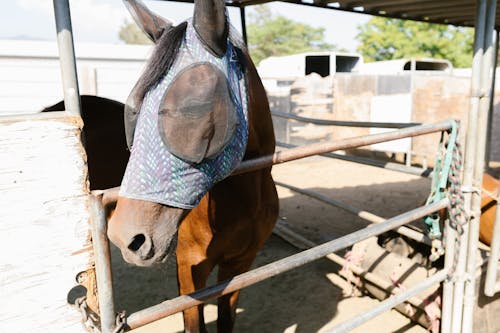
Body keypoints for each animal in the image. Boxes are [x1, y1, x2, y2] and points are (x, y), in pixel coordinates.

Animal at [106, 0, 278, 332]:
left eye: (193, 109)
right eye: (133, 113)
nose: (125, 237)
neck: (244, 201)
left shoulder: (241, 263)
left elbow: (226, 318)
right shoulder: (189, 268)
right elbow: (194, 324)